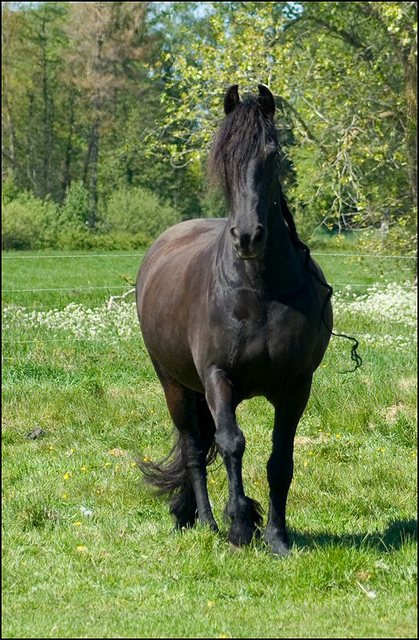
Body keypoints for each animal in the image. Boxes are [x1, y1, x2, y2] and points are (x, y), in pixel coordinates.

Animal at [136, 85, 334, 556]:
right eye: (223, 155)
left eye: (273, 153)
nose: (248, 237)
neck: (259, 290)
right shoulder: (216, 377)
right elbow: (231, 444)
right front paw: (241, 525)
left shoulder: (296, 385)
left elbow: (281, 459)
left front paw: (277, 537)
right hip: (175, 386)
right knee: (194, 449)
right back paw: (207, 522)